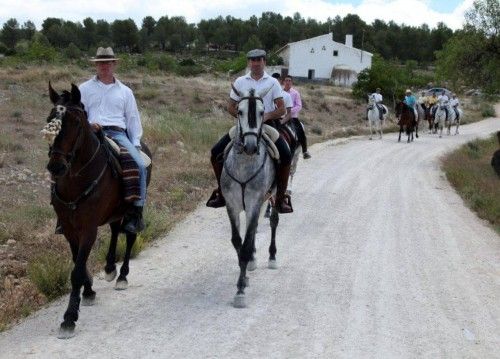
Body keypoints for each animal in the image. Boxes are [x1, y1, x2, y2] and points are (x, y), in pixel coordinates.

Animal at [47, 83, 152, 338]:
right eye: (49, 119)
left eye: (75, 122)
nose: (56, 166)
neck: (75, 179)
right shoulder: (69, 229)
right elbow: (78, 262)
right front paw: (88, 292)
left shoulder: (88, 228)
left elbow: (77, 271)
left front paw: (69, 318)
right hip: (115, 210)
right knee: (115, 230)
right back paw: (110, 267)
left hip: (132, 210)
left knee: (130, 234)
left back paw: (122, 275)